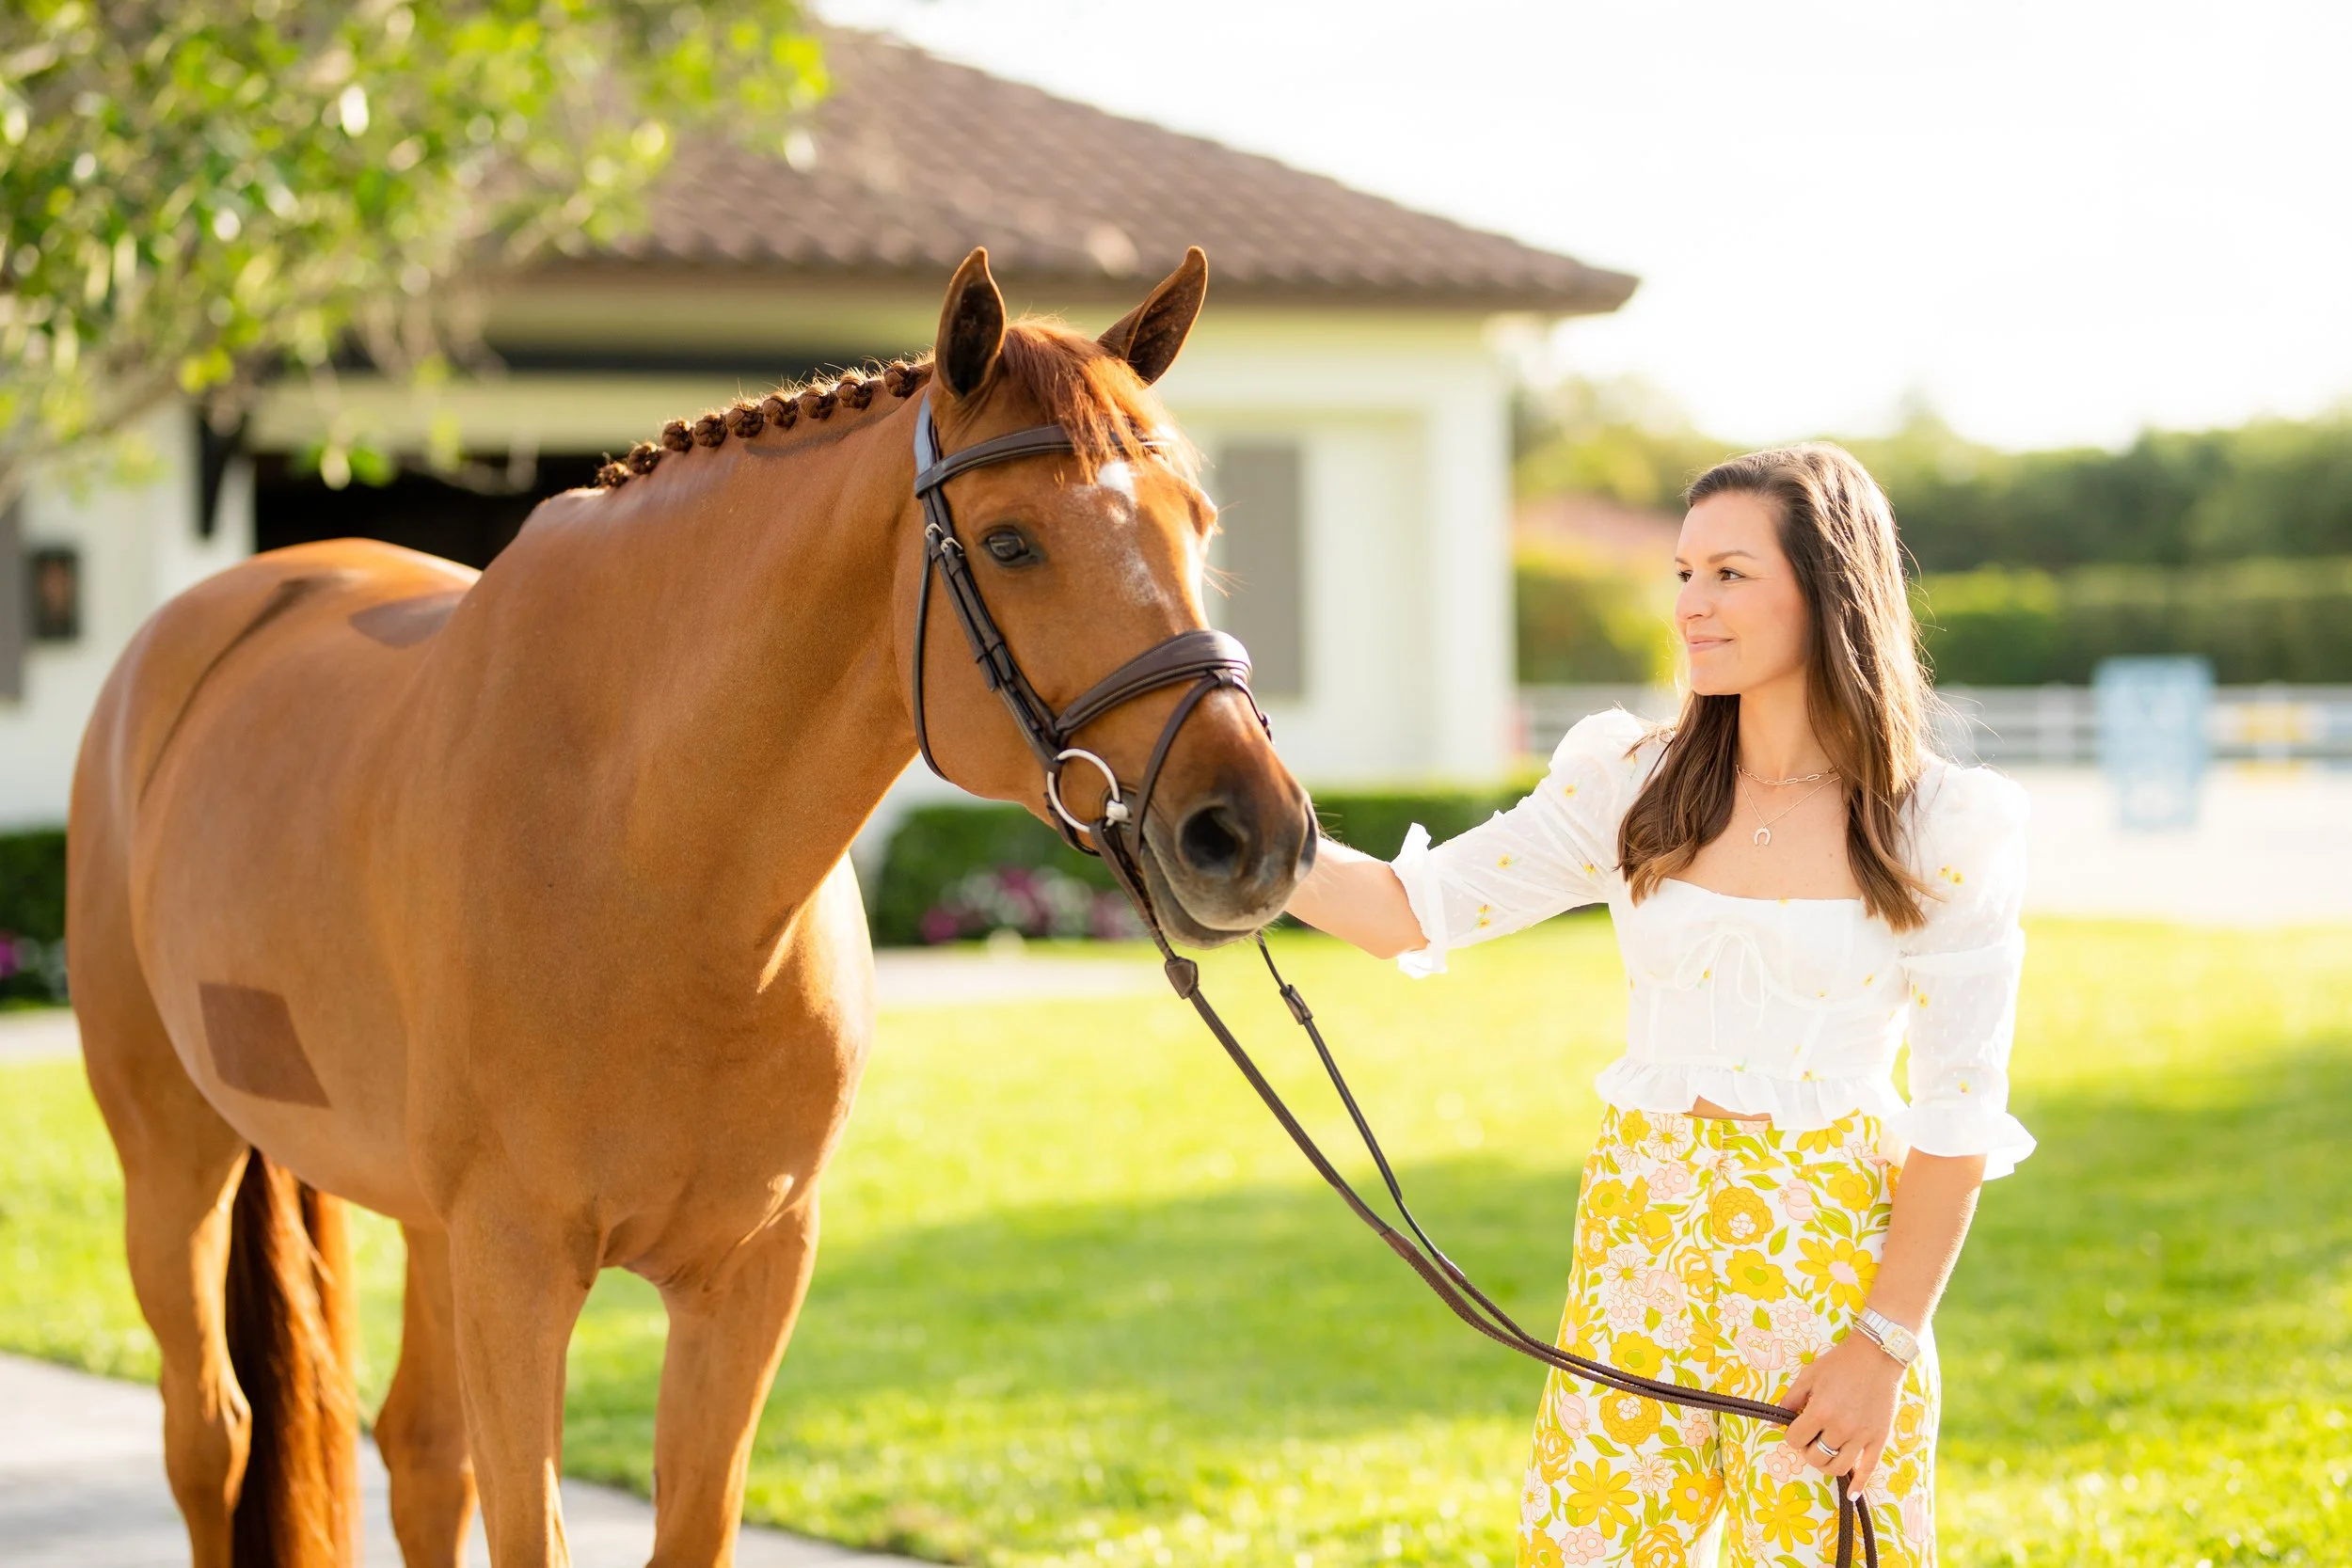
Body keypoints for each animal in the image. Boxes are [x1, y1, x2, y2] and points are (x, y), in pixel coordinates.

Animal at [67, 246, 1315, 1567]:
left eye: (1199, 522)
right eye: (1011, 541)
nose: (1252, 833)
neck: (654, 861)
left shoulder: (749, 1270)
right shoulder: (517, 1264)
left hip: (420, 1223)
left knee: (417, 1452)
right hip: (177, 1162)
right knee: (213, 1434)